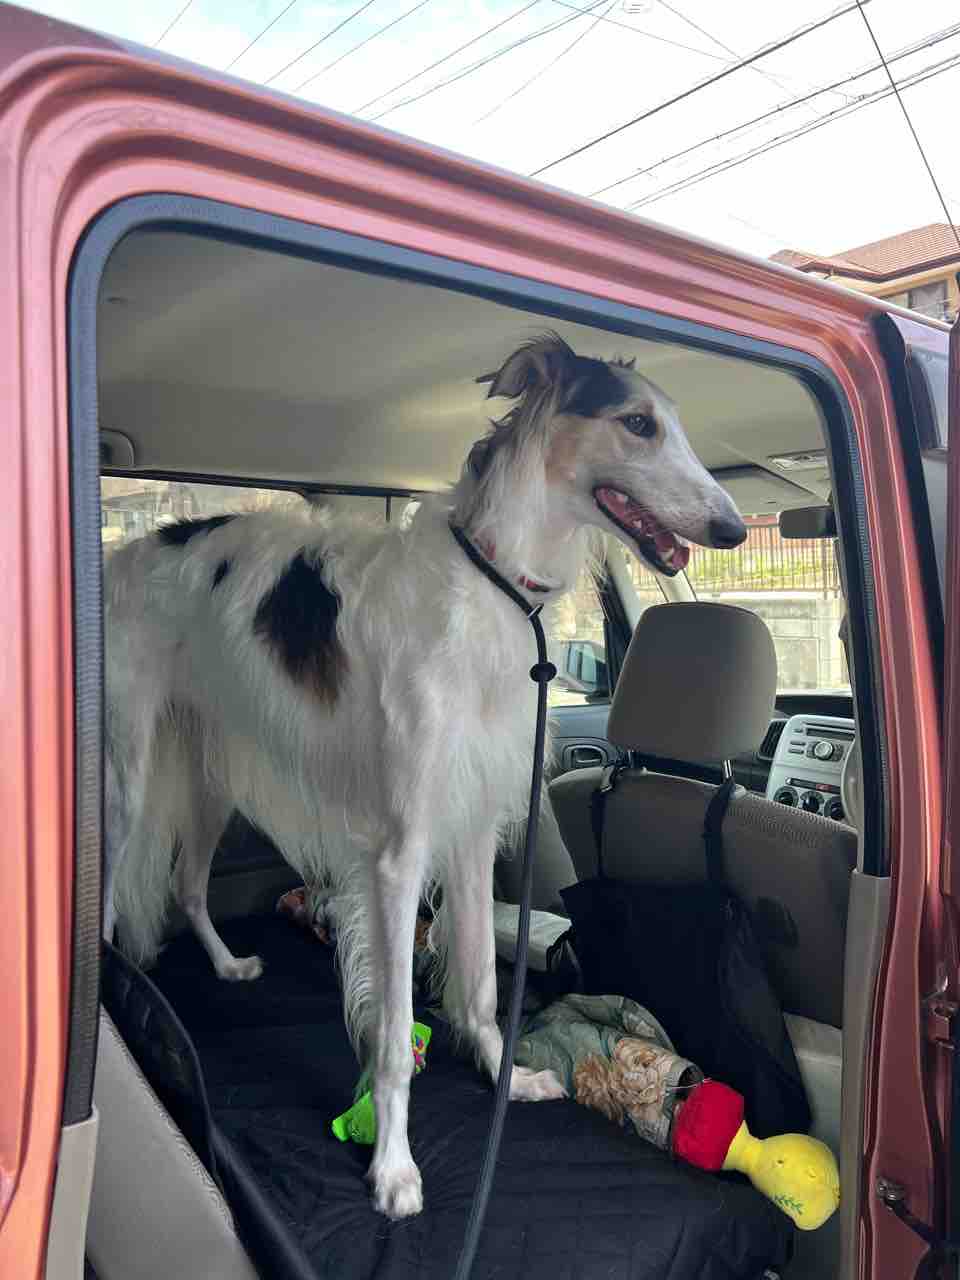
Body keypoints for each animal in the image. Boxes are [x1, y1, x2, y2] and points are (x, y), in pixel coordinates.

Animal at [103, 333, 746, 1219]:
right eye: (639, 423)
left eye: (673, 422)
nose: (736, 527)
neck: (495, 589)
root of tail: (126, 553)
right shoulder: (397, 852)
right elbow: (393, 1032)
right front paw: (394, 1165)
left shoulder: (471, 827)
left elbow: (478, 982)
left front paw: (506, 1079)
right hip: (127, 783)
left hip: (209, 775)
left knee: (189, 884)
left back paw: (229, 965)